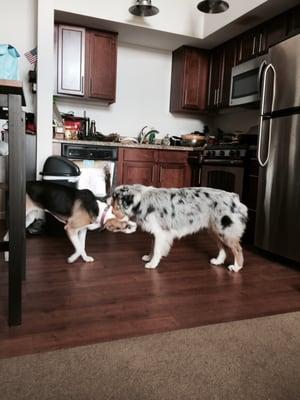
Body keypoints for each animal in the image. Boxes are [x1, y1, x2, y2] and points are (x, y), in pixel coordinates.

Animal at [2, 180, 137, 262]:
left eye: (128, 218)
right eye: (121, 227)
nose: (135, 227)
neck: (99, 209)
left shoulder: (82, 230)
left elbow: (82, 246)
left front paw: (85, 258)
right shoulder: (70, 228)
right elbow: (78, 247)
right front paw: (72, 259)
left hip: (29, 218)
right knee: (5, 237)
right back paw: (7, 257)